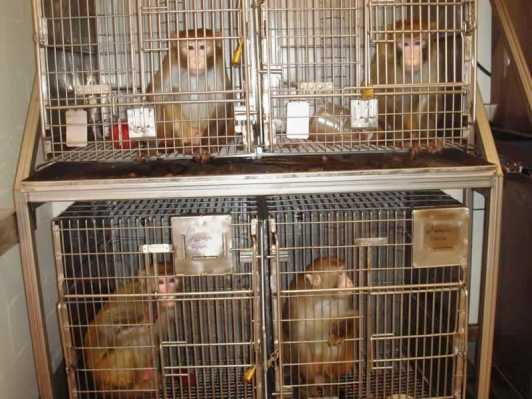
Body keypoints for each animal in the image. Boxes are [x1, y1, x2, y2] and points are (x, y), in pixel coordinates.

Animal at [83, 262, 182, 396]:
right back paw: (133, 388)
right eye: (161, 282)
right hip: (105, 371)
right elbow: (106, 329)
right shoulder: (131, 300)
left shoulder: (167, 313)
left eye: (171, 280)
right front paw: (146, 319)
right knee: (127, 349)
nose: (169, 292)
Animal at [148, 28, 235, 162]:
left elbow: (221, 102)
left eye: (202, 47)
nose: (197, 61)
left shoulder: (218, 60)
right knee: (168, 99)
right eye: (190, 47)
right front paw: (149, 147)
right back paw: (182, 146)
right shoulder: (171, 60)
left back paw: (214, 146)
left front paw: (205, 148)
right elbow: (156, 97)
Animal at [282, 258, 358, 398]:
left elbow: (352, 316)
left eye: (344, 271)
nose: (350, 281)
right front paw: (310, 383)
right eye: (340, 273)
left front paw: (339, 332)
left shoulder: (343, 301)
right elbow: (299, 341)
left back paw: (327, 376)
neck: (321, 299)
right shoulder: (296, 305)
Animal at [366, 19, 444, 156]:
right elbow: (381, 94)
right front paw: (403, 137)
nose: (412, 58)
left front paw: (426, 139)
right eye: (405, 44)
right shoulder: (384, 56)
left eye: (417, 43)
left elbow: (430, 94)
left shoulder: (434, 60)